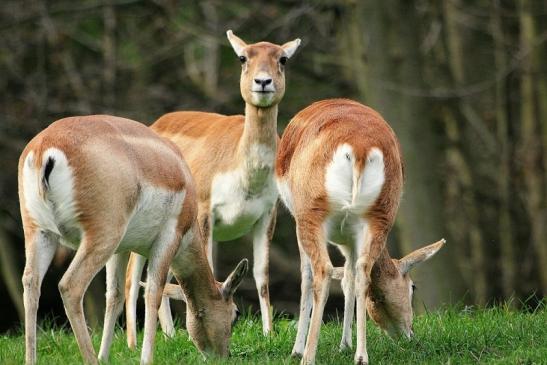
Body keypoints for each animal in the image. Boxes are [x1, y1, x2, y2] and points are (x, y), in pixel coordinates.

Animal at [18, 116, 246, 364]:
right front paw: (146, 358)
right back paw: (91, 359)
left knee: (31, 284)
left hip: (40, 234)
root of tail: (45, 147)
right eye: (235, 314)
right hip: (101, 238)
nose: (224, 356)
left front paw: (105, 356)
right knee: (70, 286)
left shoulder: (121, 250)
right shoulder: (169, 238)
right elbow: (153, 293)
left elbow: (114, 296)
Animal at [126, 28, 302, 344]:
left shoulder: (266, 215)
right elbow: (206, 265)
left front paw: (268, 333)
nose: (263, 82)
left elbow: (262, 275)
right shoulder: (206, 212)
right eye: (243, 57)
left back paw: (170, 334)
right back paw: (133, 343)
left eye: (282, 58)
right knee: (132, 274)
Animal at [276, 98, 448, 362]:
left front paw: (297, 350)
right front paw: (345, 345)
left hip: (311, 217)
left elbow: (308, 276)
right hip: (378, 219)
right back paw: (360, 356)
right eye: (413, 287)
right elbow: (348, 278)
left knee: (322, 271)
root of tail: (359, 147)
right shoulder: (349, 239)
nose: (410, 334)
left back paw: (307, 357)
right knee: (362, 272)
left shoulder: (301, 222)